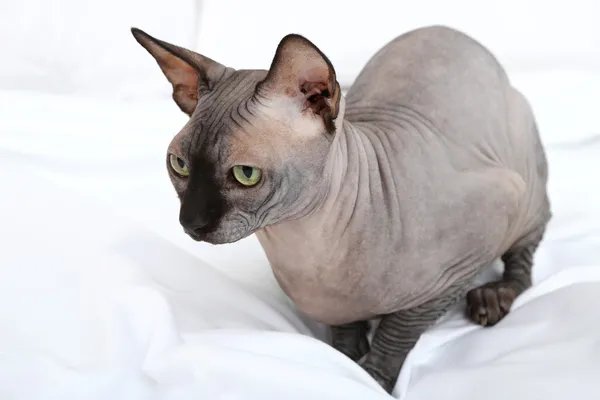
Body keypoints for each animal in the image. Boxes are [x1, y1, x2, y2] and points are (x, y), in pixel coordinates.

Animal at [131, 25, 552, 394]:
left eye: (245, 174)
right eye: (179, 166)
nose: (190, 222)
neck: (303, 247)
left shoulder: (474, 244)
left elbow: (398, 331)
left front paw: (371, 378)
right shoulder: (335, 307)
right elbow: (345, 333)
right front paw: (346, 358)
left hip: (525, 183)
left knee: (526, 256)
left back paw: (493, 296)